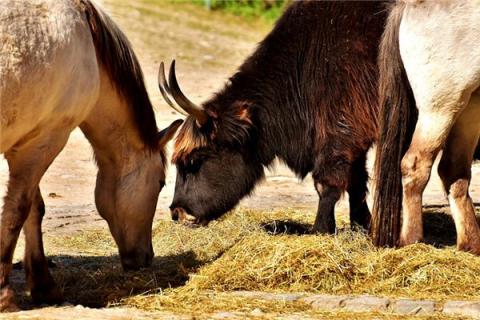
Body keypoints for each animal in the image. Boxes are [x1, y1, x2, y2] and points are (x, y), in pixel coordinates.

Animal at [0, 0, 182, 312]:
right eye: (161, 183)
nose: (146, 258)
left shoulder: (34, 140)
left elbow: (34, 209)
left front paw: (43, 285)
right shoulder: (46, 139)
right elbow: (19, 210)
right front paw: (5, 295)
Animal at [374, 1, 480, 254]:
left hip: (470, 105)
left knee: (454, 172)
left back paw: (471, 245)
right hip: (441, 106)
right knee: (415, 165)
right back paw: (412, 240)